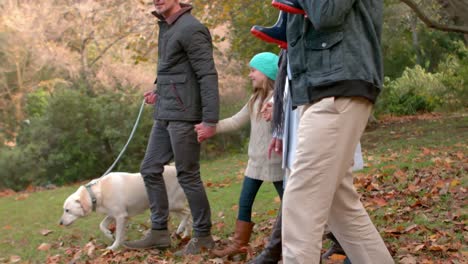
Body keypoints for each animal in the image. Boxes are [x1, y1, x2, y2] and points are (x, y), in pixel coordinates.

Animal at [59, 166, 191, 251]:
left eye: (67, 210)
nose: (60, 223)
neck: (97, 193)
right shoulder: (112, 214)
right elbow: (102, 225)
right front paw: (108, 234)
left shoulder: (120, 216)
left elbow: (118, 235)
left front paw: (113, 247)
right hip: (171, 207)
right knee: (187, 218)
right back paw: (185, 236)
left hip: (173, 204)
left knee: (188, 213)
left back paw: (180, 230)